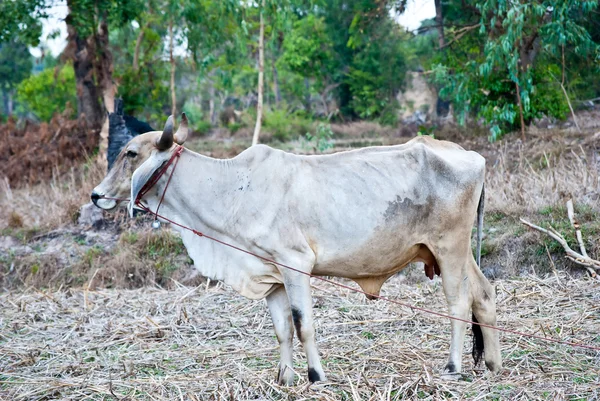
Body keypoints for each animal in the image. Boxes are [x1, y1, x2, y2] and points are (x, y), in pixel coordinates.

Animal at [92, 114, 502, 382]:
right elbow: (283, 330)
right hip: (457, 252)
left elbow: (304, 324)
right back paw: (493, 364)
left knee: (458, 303)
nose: (96, 195)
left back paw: (453, 367)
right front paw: (284, 378)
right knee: (484, 294)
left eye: (130, 153)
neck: (232, 187)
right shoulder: (271, 275)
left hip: (449, 248)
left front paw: (316, 375)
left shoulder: (295, 264)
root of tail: (473, 156)